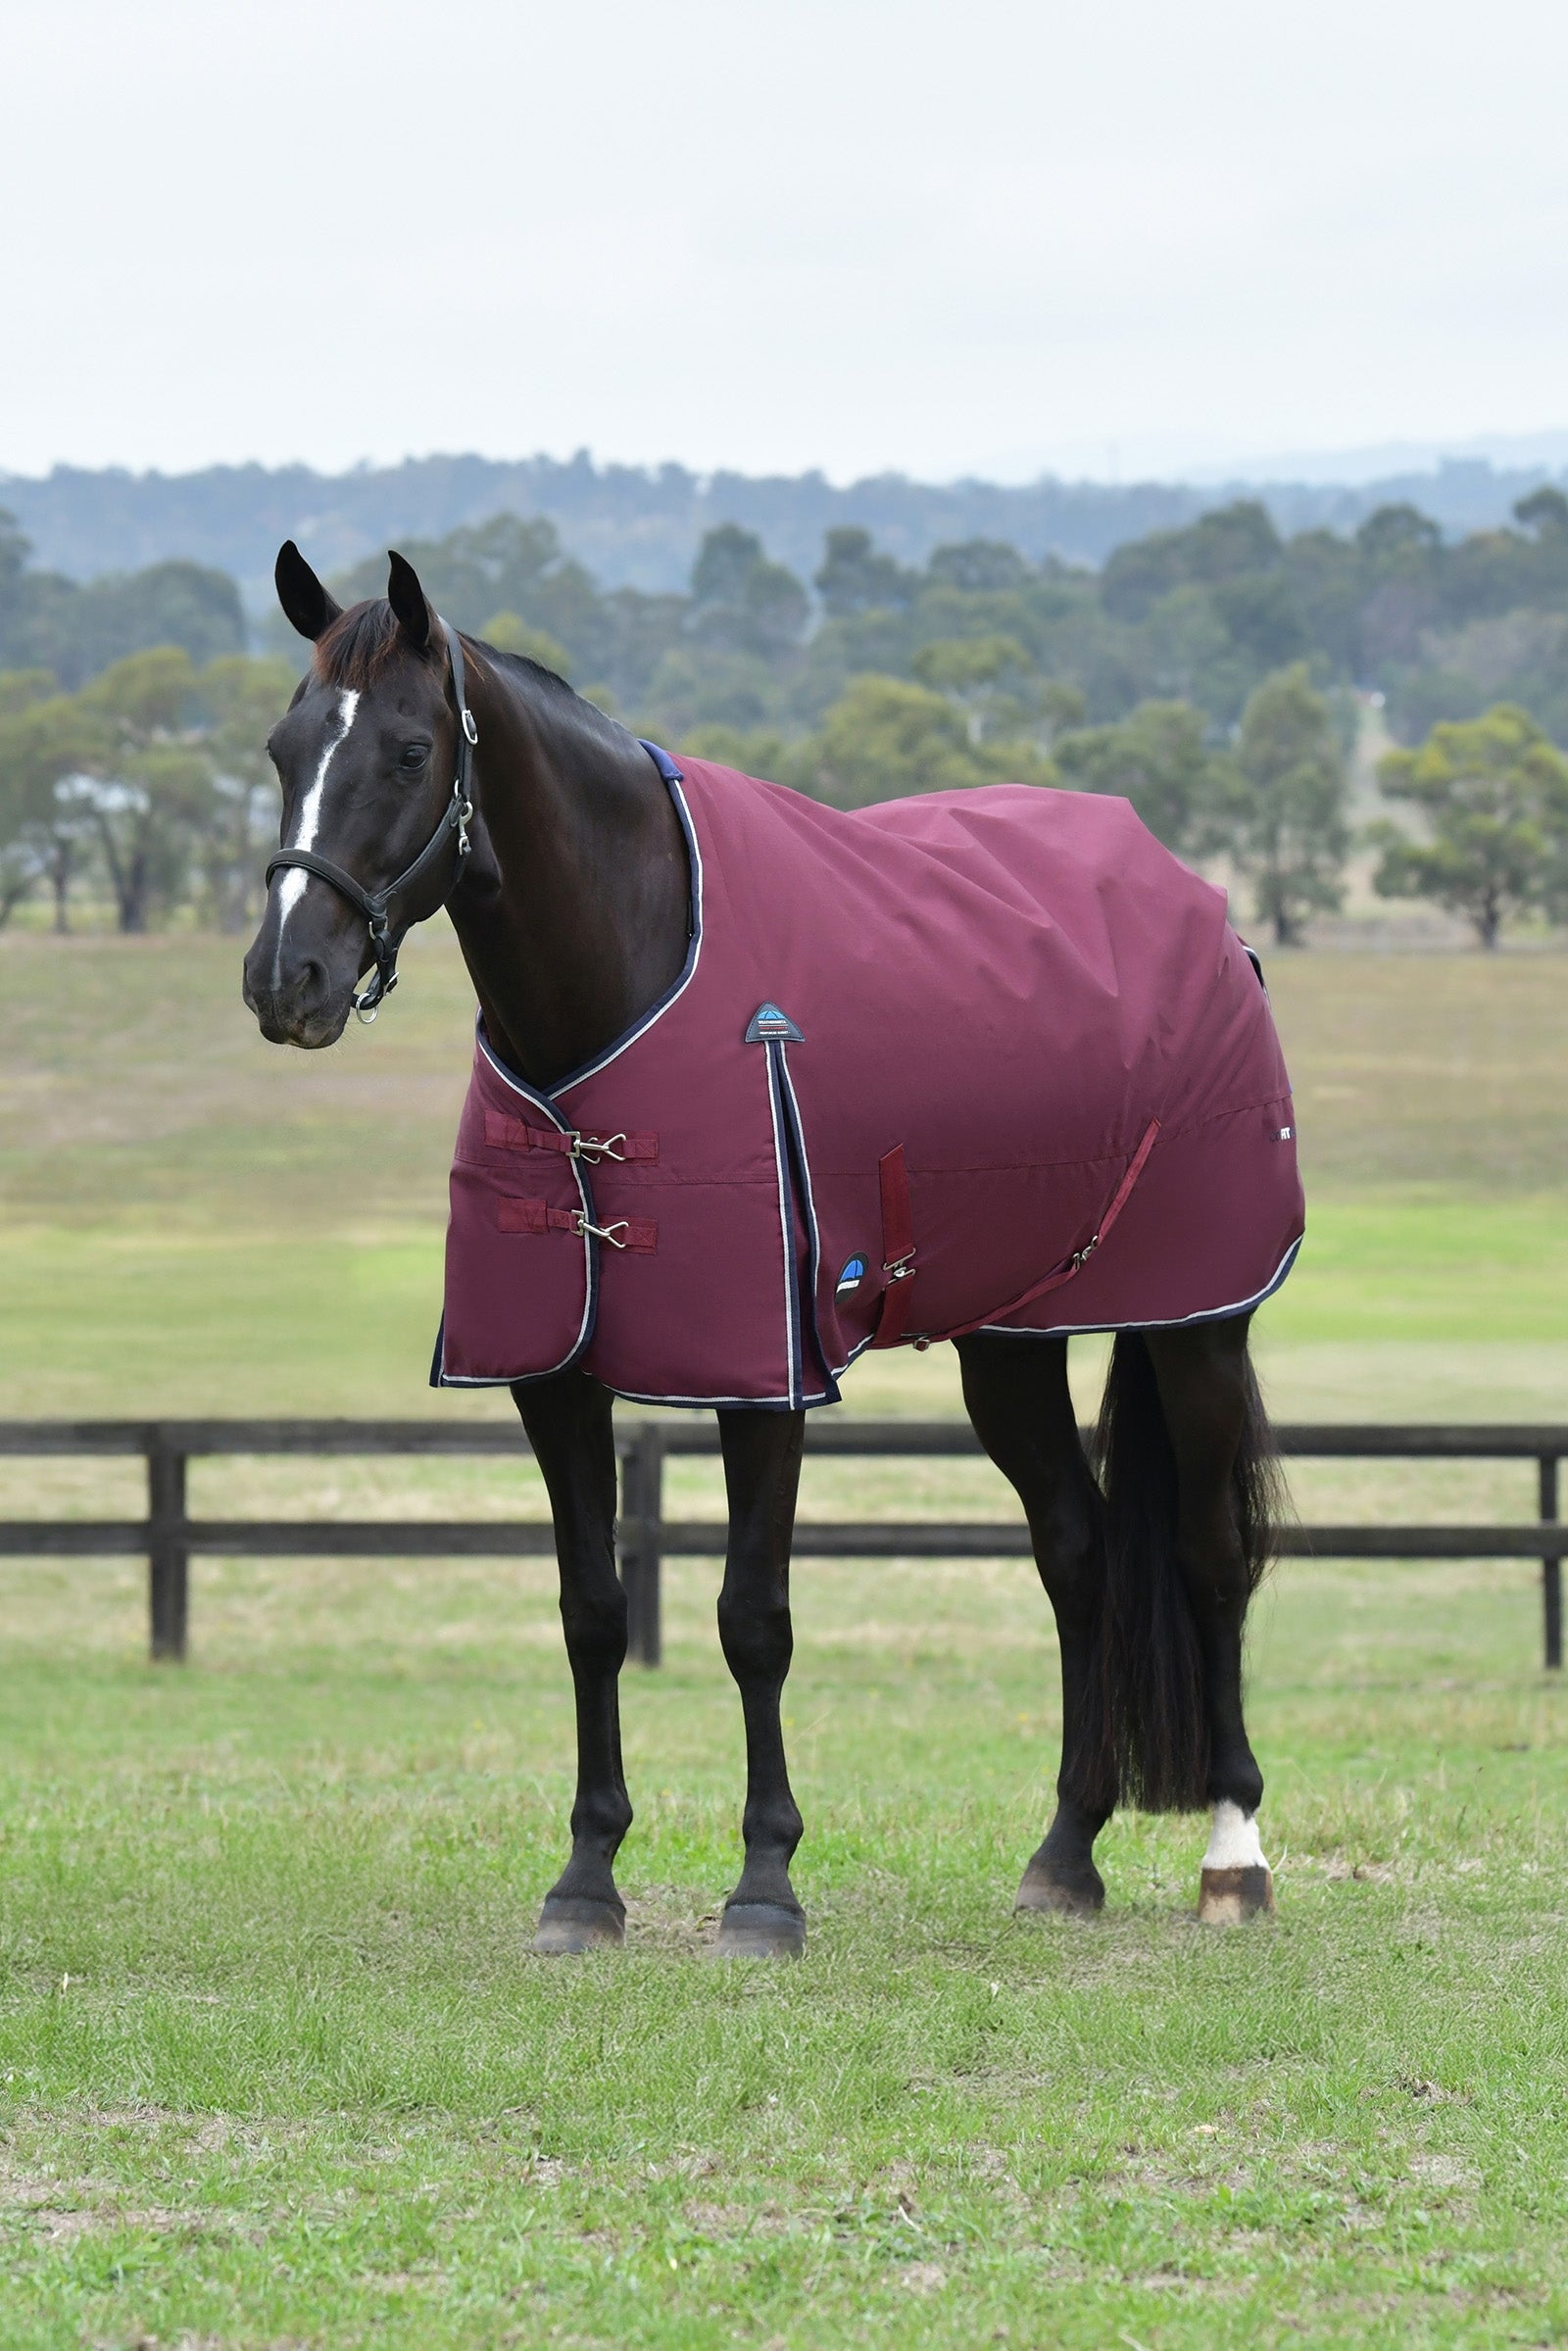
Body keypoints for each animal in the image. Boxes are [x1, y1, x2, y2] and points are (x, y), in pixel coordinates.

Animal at [243, 542, 1296, 1959]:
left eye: (410, 750)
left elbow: (754, 1619)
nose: (284, 978)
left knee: (1208, 1551)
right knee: (1075, 1550)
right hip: (1011, 1340)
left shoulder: (766, 1373)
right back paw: (1064, 1851)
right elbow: (592, 1611)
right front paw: (586, 1881)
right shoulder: (550, 1376)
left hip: (1197, 1323)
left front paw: (764, 1887)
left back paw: (1233, 1853)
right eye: (284, 745)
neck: (629, 974)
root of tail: (1204, 911)